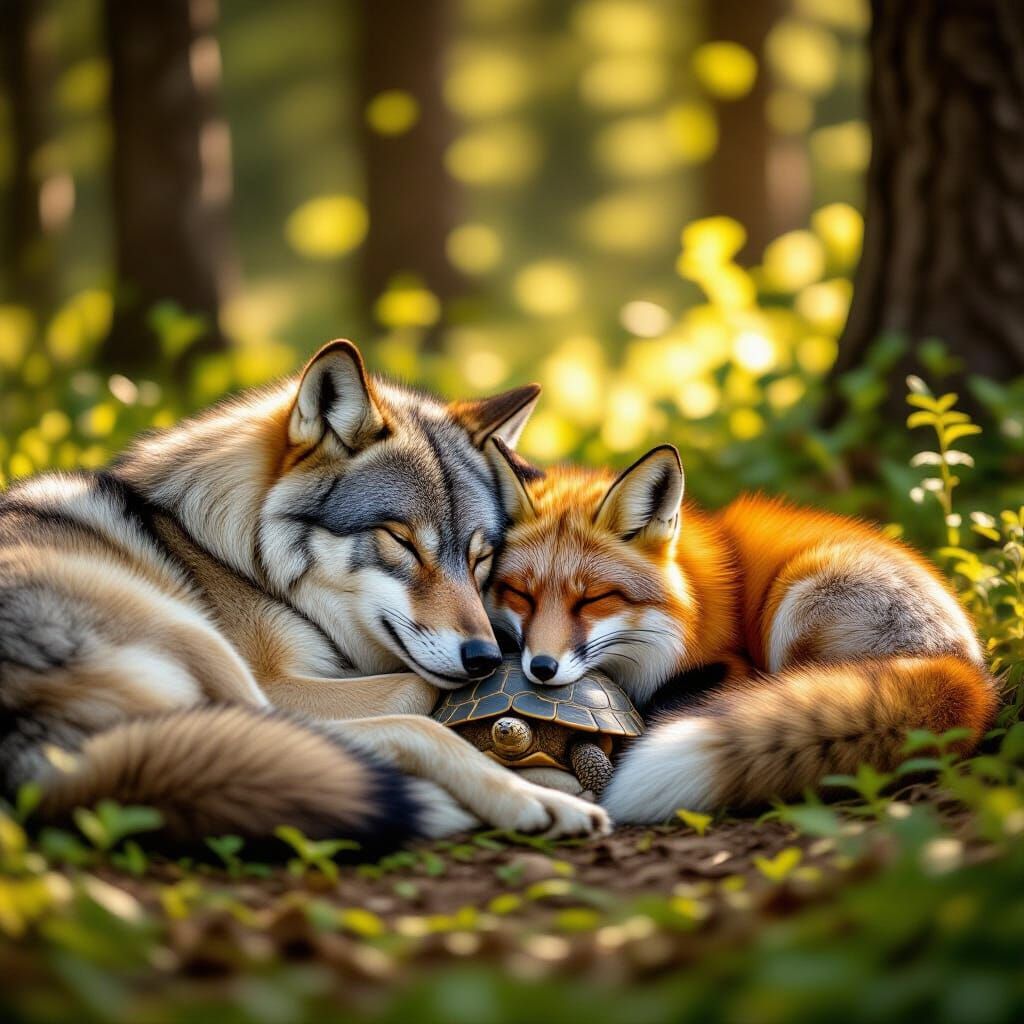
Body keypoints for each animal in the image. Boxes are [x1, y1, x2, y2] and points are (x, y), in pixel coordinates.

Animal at [0, 340, 609, 848]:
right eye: (402, 540)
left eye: (480, 558)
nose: (484, 658)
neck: (233, 557)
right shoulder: (281, 682)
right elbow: (420, 691)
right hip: (201, 645)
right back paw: (535, 798)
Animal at [486, 438, 998, 822]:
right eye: (520, 594)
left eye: (593, 598)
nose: (542, 668)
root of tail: (966, 675)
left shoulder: (730, 664)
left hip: (799, 596)